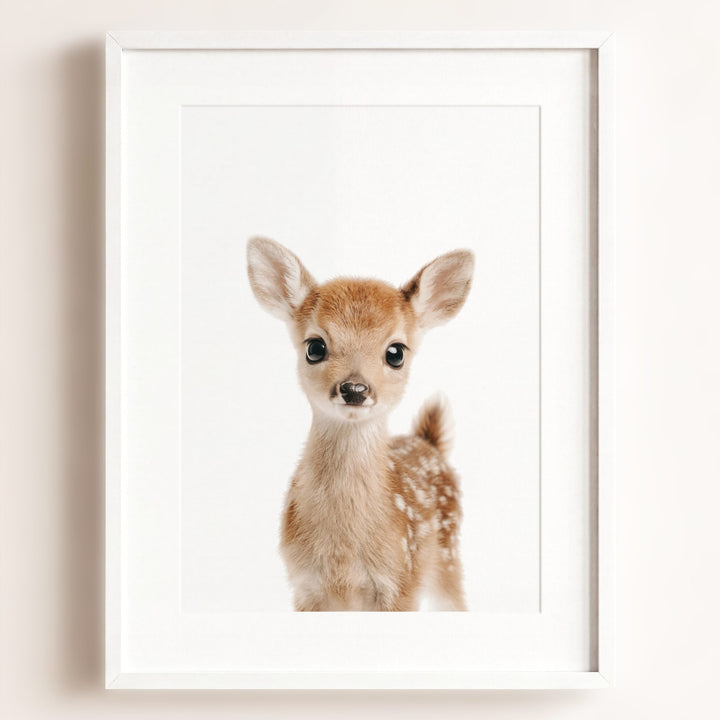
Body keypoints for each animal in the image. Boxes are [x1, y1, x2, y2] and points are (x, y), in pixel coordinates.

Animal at [246, 236, 474, 611]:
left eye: (396, 352)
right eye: (315, 347)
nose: (354, 389)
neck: (343, 557)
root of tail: (429, 442)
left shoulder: (401, 582)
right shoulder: (304, 586)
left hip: (448, 556)